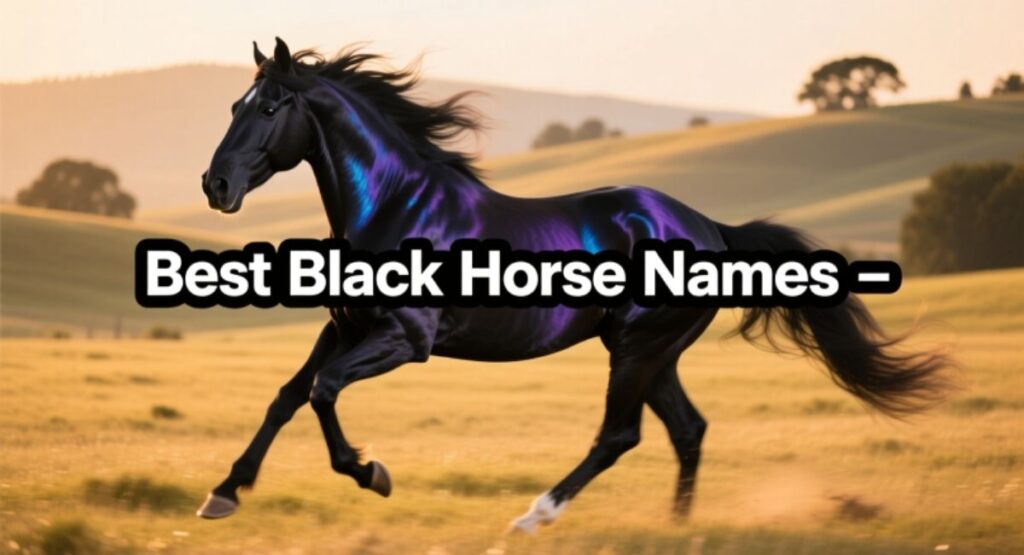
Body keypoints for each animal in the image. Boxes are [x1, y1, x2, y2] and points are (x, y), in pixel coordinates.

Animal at [195, 37, 949, 532]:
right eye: (233, 103)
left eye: (270, 108)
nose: (216, 185)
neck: (394, 206)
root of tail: (710, 227)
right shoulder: (344, 326)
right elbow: (287, 395)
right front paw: (223, 492)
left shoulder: (404, 338)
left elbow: (323, 392)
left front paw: (371, 472)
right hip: (653, 352)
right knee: (687, 428)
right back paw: (676, 529)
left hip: (638, 348)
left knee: (620, 434)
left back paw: (535, 515)